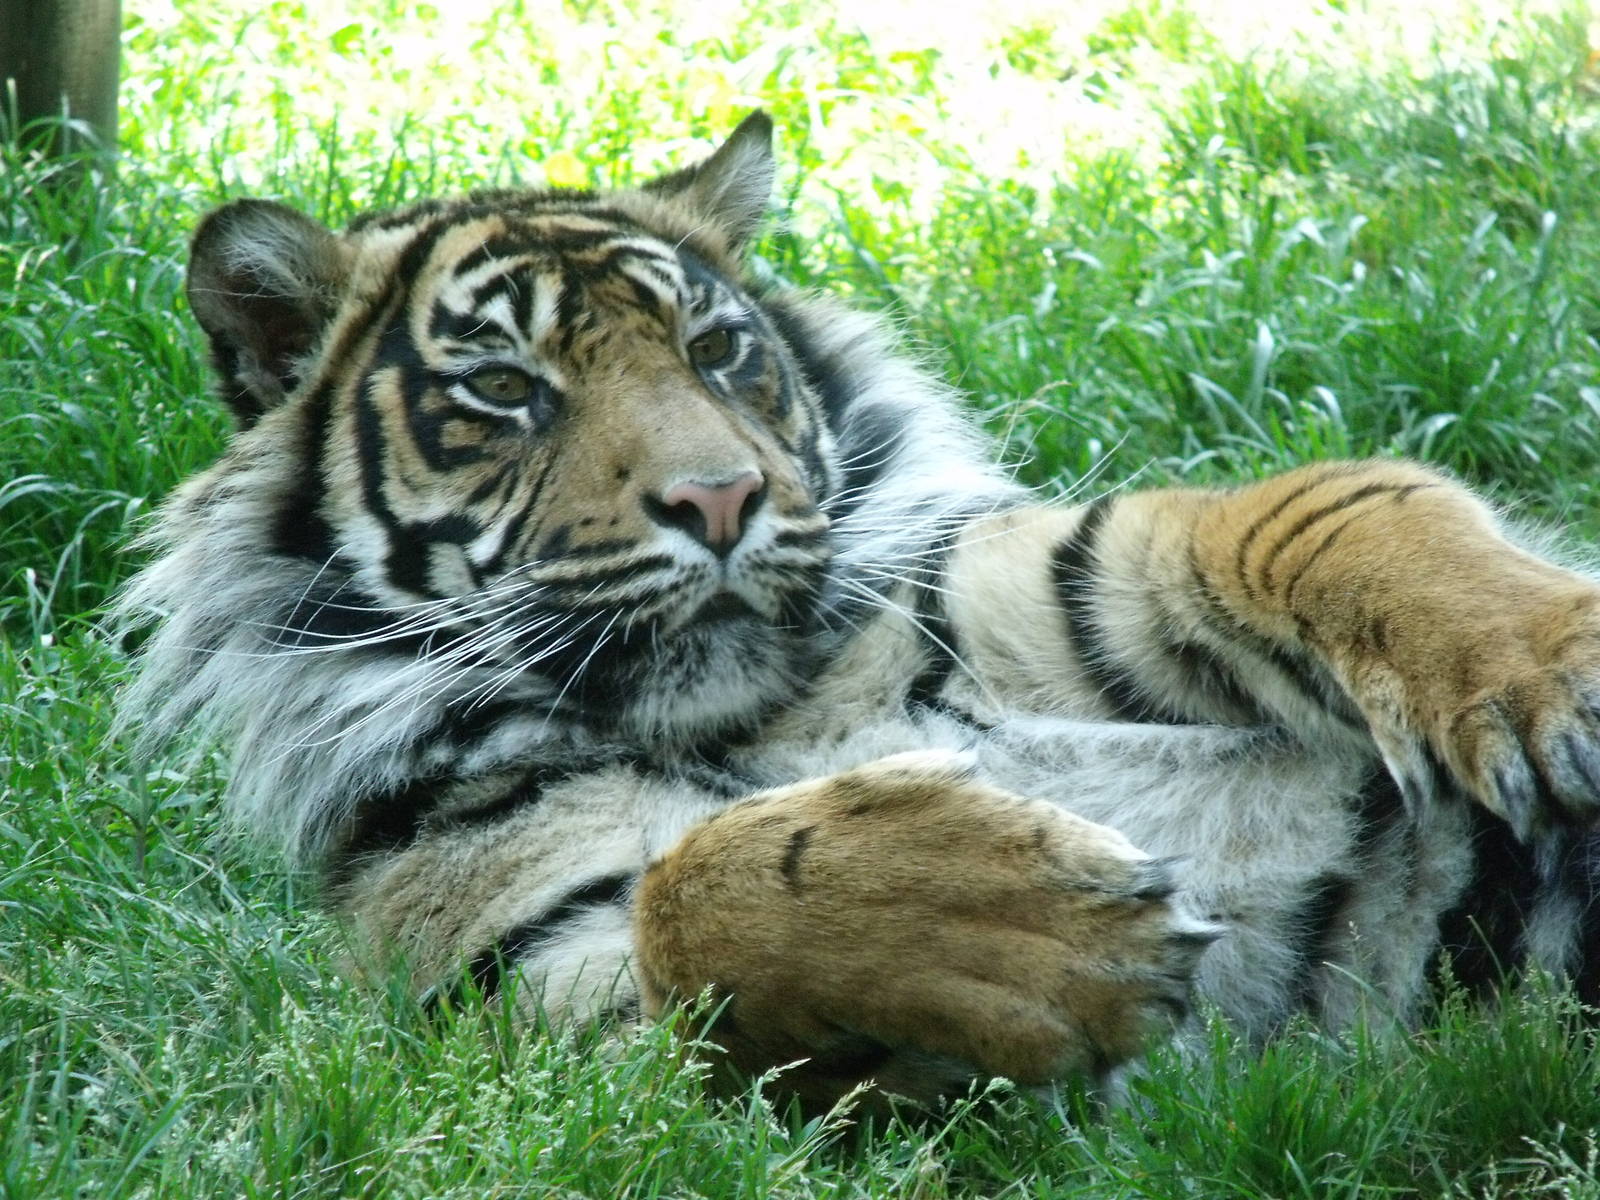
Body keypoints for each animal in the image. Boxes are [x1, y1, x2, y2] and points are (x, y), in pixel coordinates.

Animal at [119, 111, 1600, 1112]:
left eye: (716, 350)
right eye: (504, 391)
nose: (718, 499)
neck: (752, 717)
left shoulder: (1061, 571)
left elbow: (1339, 513)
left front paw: (1553, 677)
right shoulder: (575, 1017)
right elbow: (693, 890)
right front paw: (1051, 924)